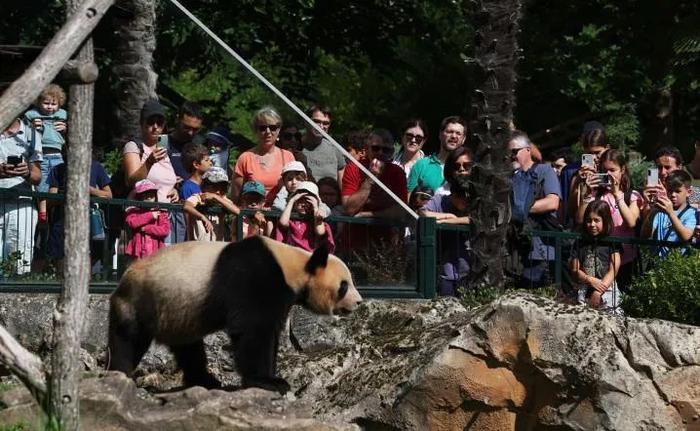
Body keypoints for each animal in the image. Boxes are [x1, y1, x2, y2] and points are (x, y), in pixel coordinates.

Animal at [108, 236, 366, 394]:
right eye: (344, 285)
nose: (359, 302)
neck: (294, 265)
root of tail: (123, 278)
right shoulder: (255, 277)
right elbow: (253, 331)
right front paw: (269, 382)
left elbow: (270, 332)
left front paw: (272, 375)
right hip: (142, 299)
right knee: (128, 338)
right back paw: (119, 373)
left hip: (178, 311)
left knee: (188, 348)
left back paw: (206, 380)